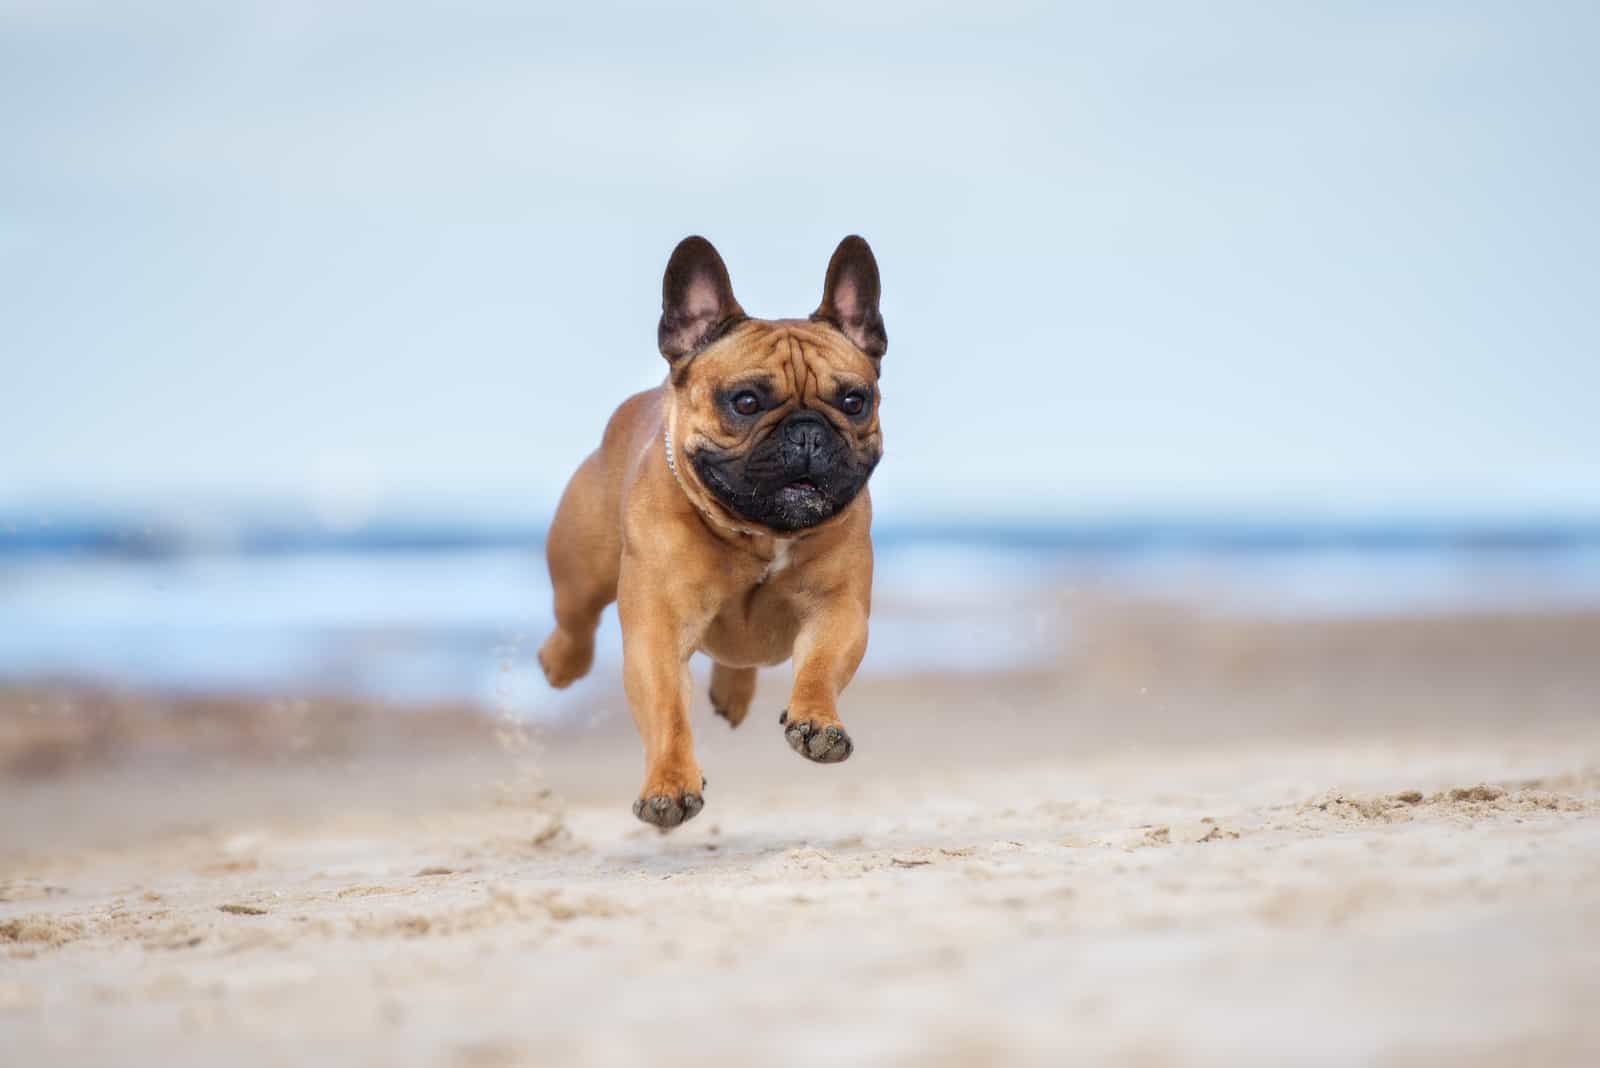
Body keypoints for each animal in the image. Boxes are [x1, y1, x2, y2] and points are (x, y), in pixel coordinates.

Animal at [537, 238, 889, 831]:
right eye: (745, 402)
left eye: (853, 401)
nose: (807, 432)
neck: (759, 535)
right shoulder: (657, 634)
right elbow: (667, 712)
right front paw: (669, 785)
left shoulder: (837, 611)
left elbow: (820, 667)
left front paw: (817, 722)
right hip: (581, 572)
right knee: (575, 622)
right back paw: (559, 663)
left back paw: (733, 691)